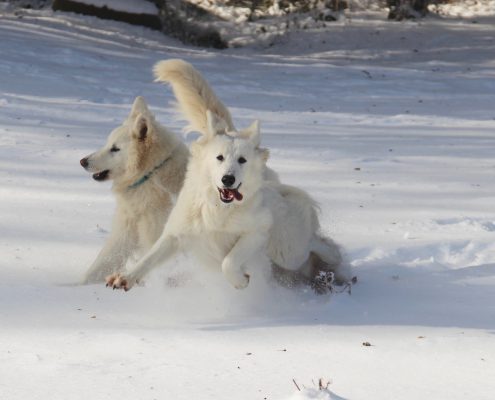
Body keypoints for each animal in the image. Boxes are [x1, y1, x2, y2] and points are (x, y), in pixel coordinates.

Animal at [80, 96, 191, 284]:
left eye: (115, 149)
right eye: (107, 144)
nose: (83, 161)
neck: (151, 174)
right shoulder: (124, 233)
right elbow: (96, 268)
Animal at [107, 59, 352, 292]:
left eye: (242, 160)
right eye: (219, 157)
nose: (228, 179)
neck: (219, 208)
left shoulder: (257, 232)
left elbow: (228, 261)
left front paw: (240, 281)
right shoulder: (176, 234)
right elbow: (150, 258)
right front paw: (125, 277)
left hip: (287, 250)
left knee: (316, 243)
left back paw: (336, 262)